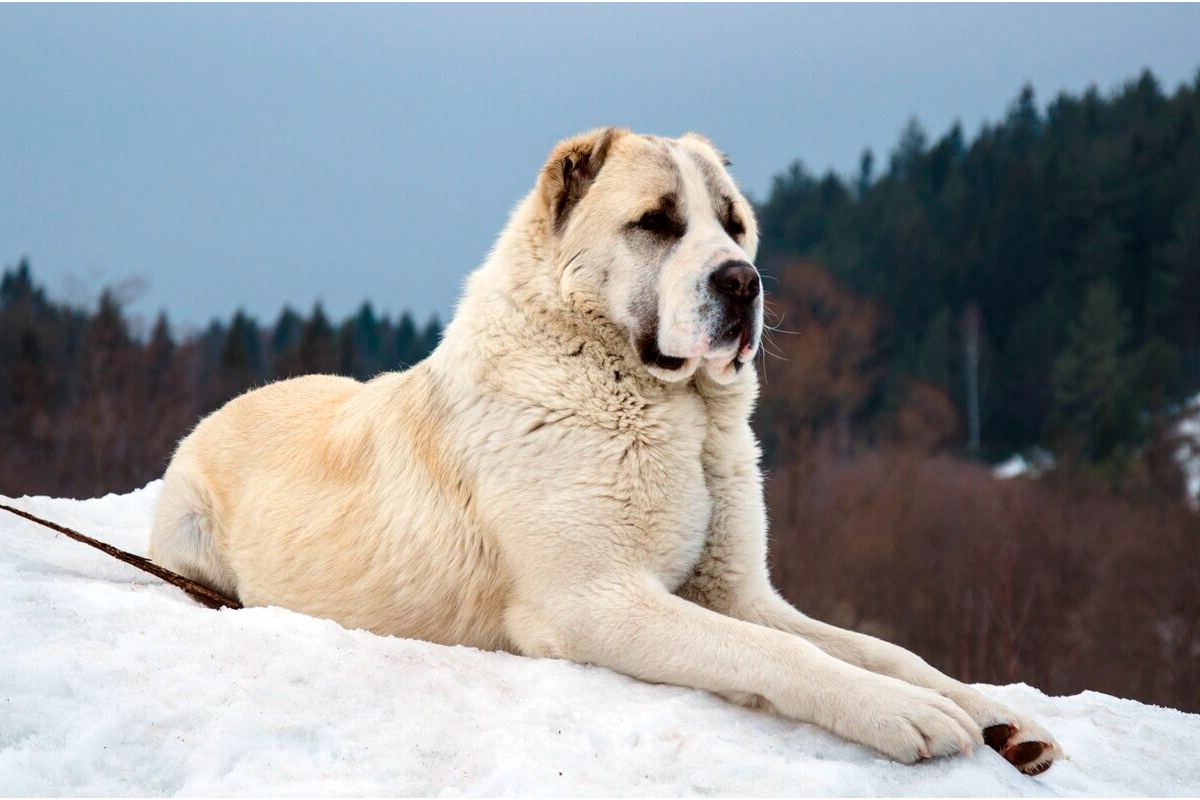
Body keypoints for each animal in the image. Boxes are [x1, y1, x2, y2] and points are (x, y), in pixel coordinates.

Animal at [147, 128, 1060, 772]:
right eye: (656, 223)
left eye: (734, 224)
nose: (742, 281)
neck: (667, 408)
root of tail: (226, 405)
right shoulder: (598, 601)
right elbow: (784, 652)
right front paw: (908, 713)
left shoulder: (737, 591)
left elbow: (875, 646)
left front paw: (996, 715)